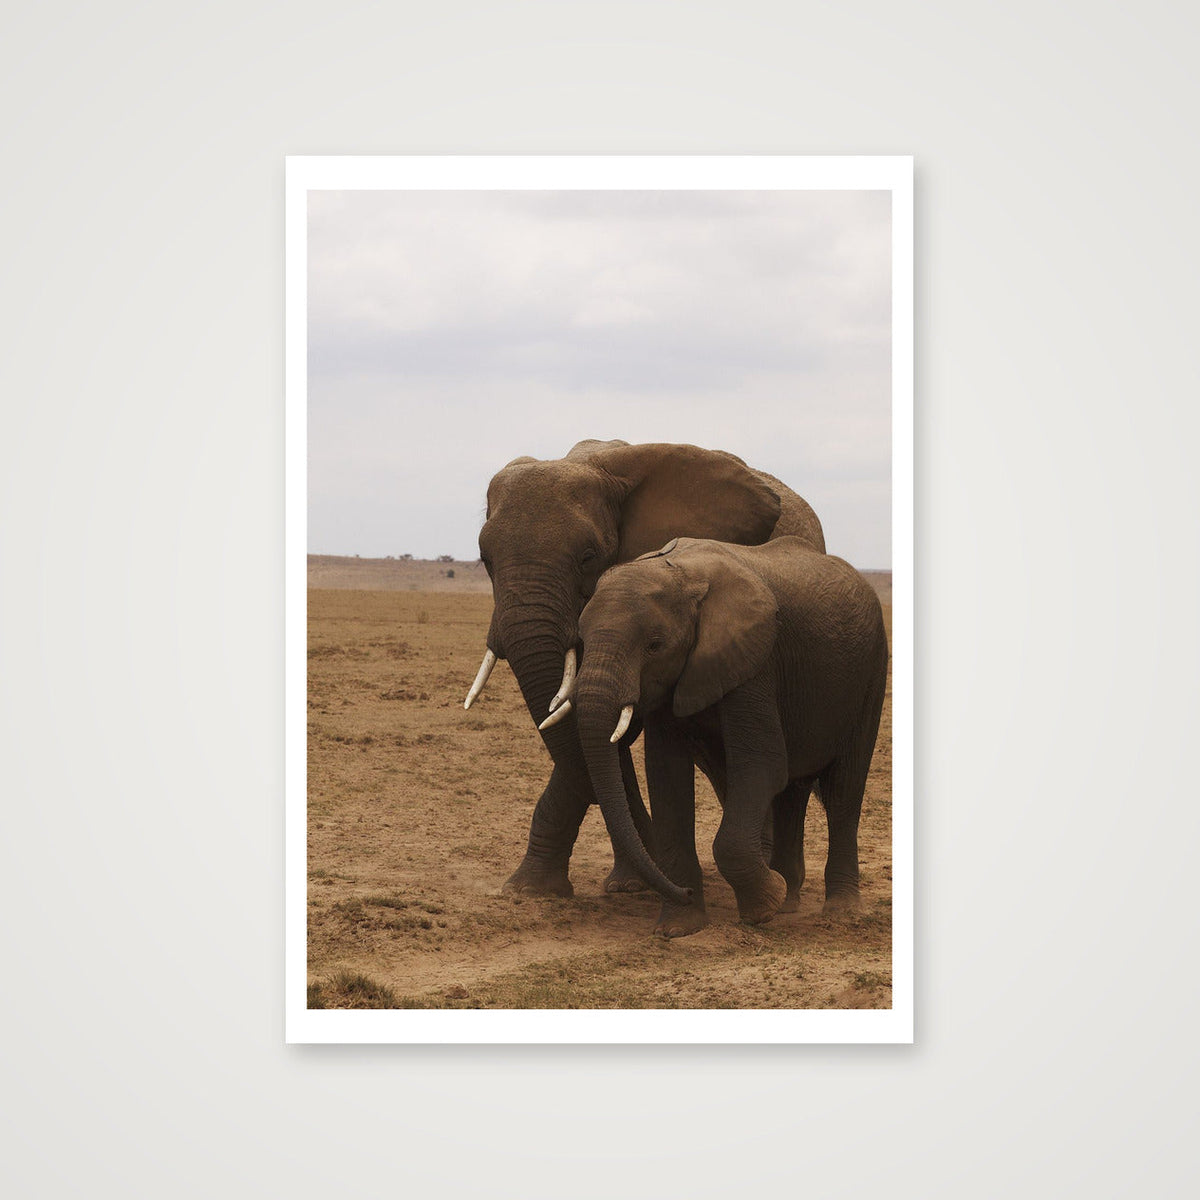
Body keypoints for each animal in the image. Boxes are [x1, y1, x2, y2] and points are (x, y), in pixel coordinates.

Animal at [558, 535, 888, 936]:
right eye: (581, 638)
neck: (682, 577)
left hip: (872, 671)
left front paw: (763, 908)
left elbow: (762, 766)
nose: (683, 892)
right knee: (792, 793)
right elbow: (666, 775)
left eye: (654, 645)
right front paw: (679, 927)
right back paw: (790, 900)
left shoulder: (754, 663)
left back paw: (839, 911)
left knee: (844, 790)